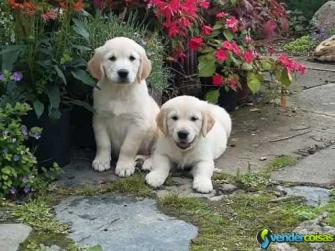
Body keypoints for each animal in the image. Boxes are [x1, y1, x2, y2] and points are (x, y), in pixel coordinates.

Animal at [87, 36, 159, 176]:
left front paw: (124, 166)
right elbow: (103, 143)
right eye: (112, 58)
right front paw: (101, 161)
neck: (119, 92)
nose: (123, 72)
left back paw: (148, 163)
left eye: (132, 58)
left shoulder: (137, 124)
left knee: (157, 153)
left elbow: (128, 147)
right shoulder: (99, 119)